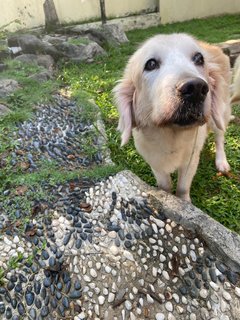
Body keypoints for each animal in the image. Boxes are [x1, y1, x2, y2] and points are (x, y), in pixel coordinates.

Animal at [113, 33, 232, 202]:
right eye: (151, 64)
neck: (171, 136)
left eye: (199, 59)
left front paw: (184, 202)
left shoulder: (190, 160)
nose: (195, 88)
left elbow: (182, 187)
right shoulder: (155, 162)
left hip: (220, 114)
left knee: (219, 138)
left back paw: (221, 162)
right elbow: (165, 185)